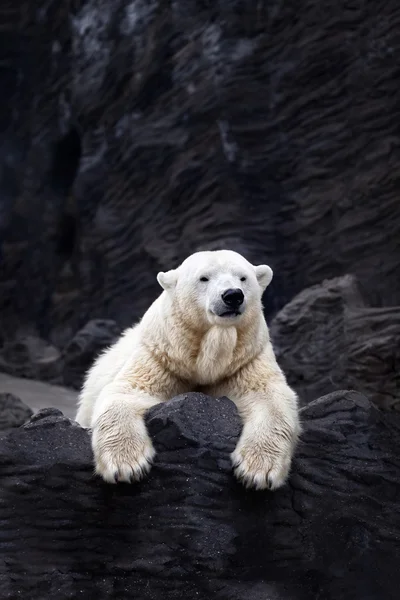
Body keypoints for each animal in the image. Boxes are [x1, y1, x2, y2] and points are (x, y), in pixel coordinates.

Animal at [75, 251, 300, 490]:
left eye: (243, 278)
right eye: (204, 278)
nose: (232, 295)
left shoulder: (246, 360)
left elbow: (268, 397)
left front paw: (258, 472)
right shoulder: (161, 357)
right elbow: (127, 391)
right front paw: (127, 465)